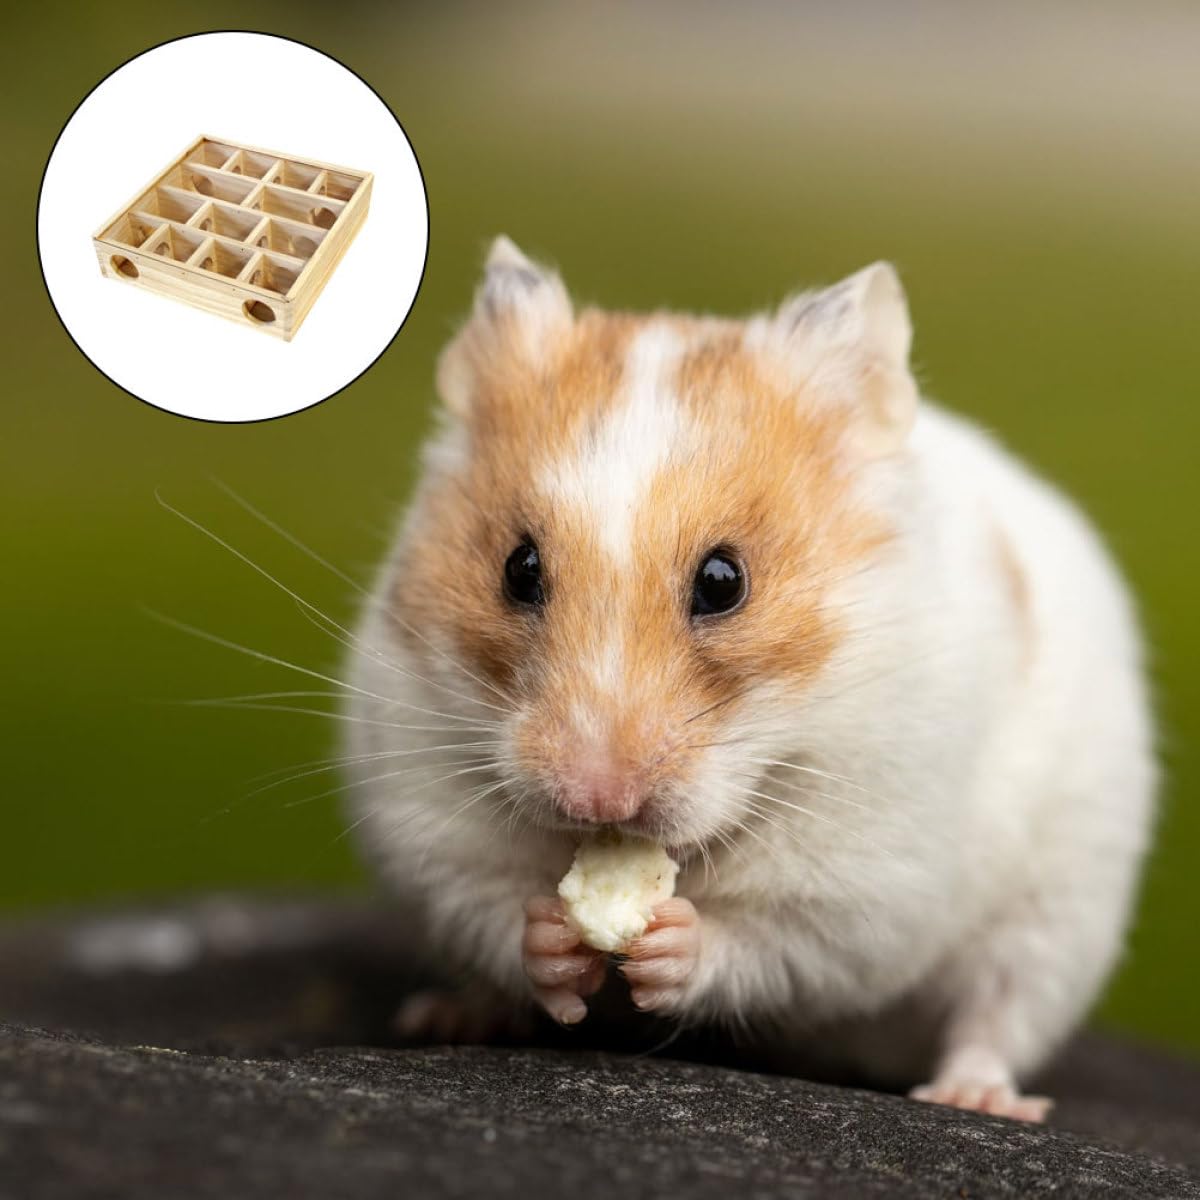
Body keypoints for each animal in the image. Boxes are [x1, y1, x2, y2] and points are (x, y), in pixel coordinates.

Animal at [345, 236, 1155, 1122]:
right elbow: (492, 907)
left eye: (724, 581)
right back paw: (447, 1016)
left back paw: (975, 1097)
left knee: (998, 1012)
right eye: (518, 569)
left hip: (1060, 911)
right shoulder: (429, 814)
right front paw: (556, 939)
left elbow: (769, 942)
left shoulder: (864, 882)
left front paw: (669, 943)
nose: (598, 801)